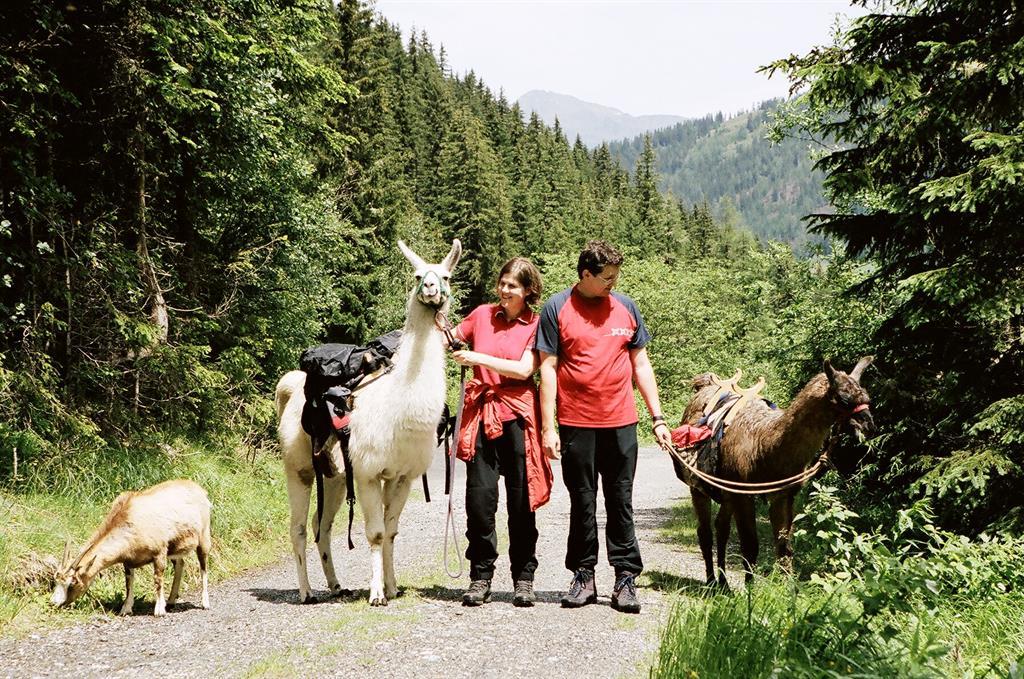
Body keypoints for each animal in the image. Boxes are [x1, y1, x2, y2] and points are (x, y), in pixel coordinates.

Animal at [276, 238, 461, 605]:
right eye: (417, 274)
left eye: (446, 275)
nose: (431, 289)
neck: (400, 406)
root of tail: (292, 386)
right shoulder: (368, 471)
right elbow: (375, 533)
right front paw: (377, 594)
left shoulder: (402, 475)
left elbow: (391, 531)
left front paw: (392, 586)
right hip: (298, 467)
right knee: (298, 527)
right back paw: (306, 591)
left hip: (333, 475)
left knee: (321, 526)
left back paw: (335, 585)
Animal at [673, 357, 875, 585]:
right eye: (843, 398)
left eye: (866, 397)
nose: (869, 424)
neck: (766, 448)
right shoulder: (743, 493)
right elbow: (750, 545)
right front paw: (750, 589)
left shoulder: (783, 494)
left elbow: (784, 547)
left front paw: (789, 588)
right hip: (699, 485)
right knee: (705, 532)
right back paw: (711, 581)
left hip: (725, 492)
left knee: (721, 527)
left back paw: (724, 583)